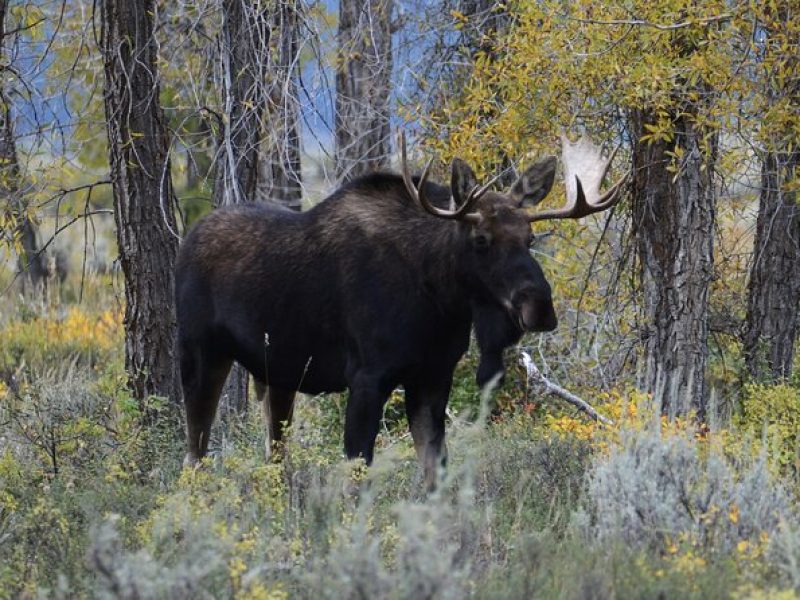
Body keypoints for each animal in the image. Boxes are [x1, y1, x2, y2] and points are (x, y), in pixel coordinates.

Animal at [175, 135, 624, 488]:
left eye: (530, 238)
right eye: (480, 239)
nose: (540, 306)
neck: (440, 302)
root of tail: (188, 238)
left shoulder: (433, 376)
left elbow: (435, 471)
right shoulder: (367, 377)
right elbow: (357, 475)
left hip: (280, 374)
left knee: (274, 452)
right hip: (200, 354)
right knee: (194, 453)